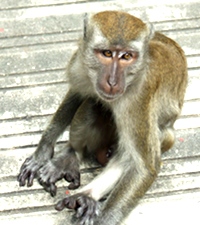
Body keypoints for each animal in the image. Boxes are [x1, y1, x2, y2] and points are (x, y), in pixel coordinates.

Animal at [17, 11, 188, 225]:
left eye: (127, 56)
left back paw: (89, 194)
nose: (112, 82)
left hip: (163, 137)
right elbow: (77, 94)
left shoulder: (140, 98)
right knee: (92, 103)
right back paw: (70, 156)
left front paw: (104, 218)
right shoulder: (80, 62)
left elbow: (144, 168)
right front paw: (43, 151)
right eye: (106, 53)